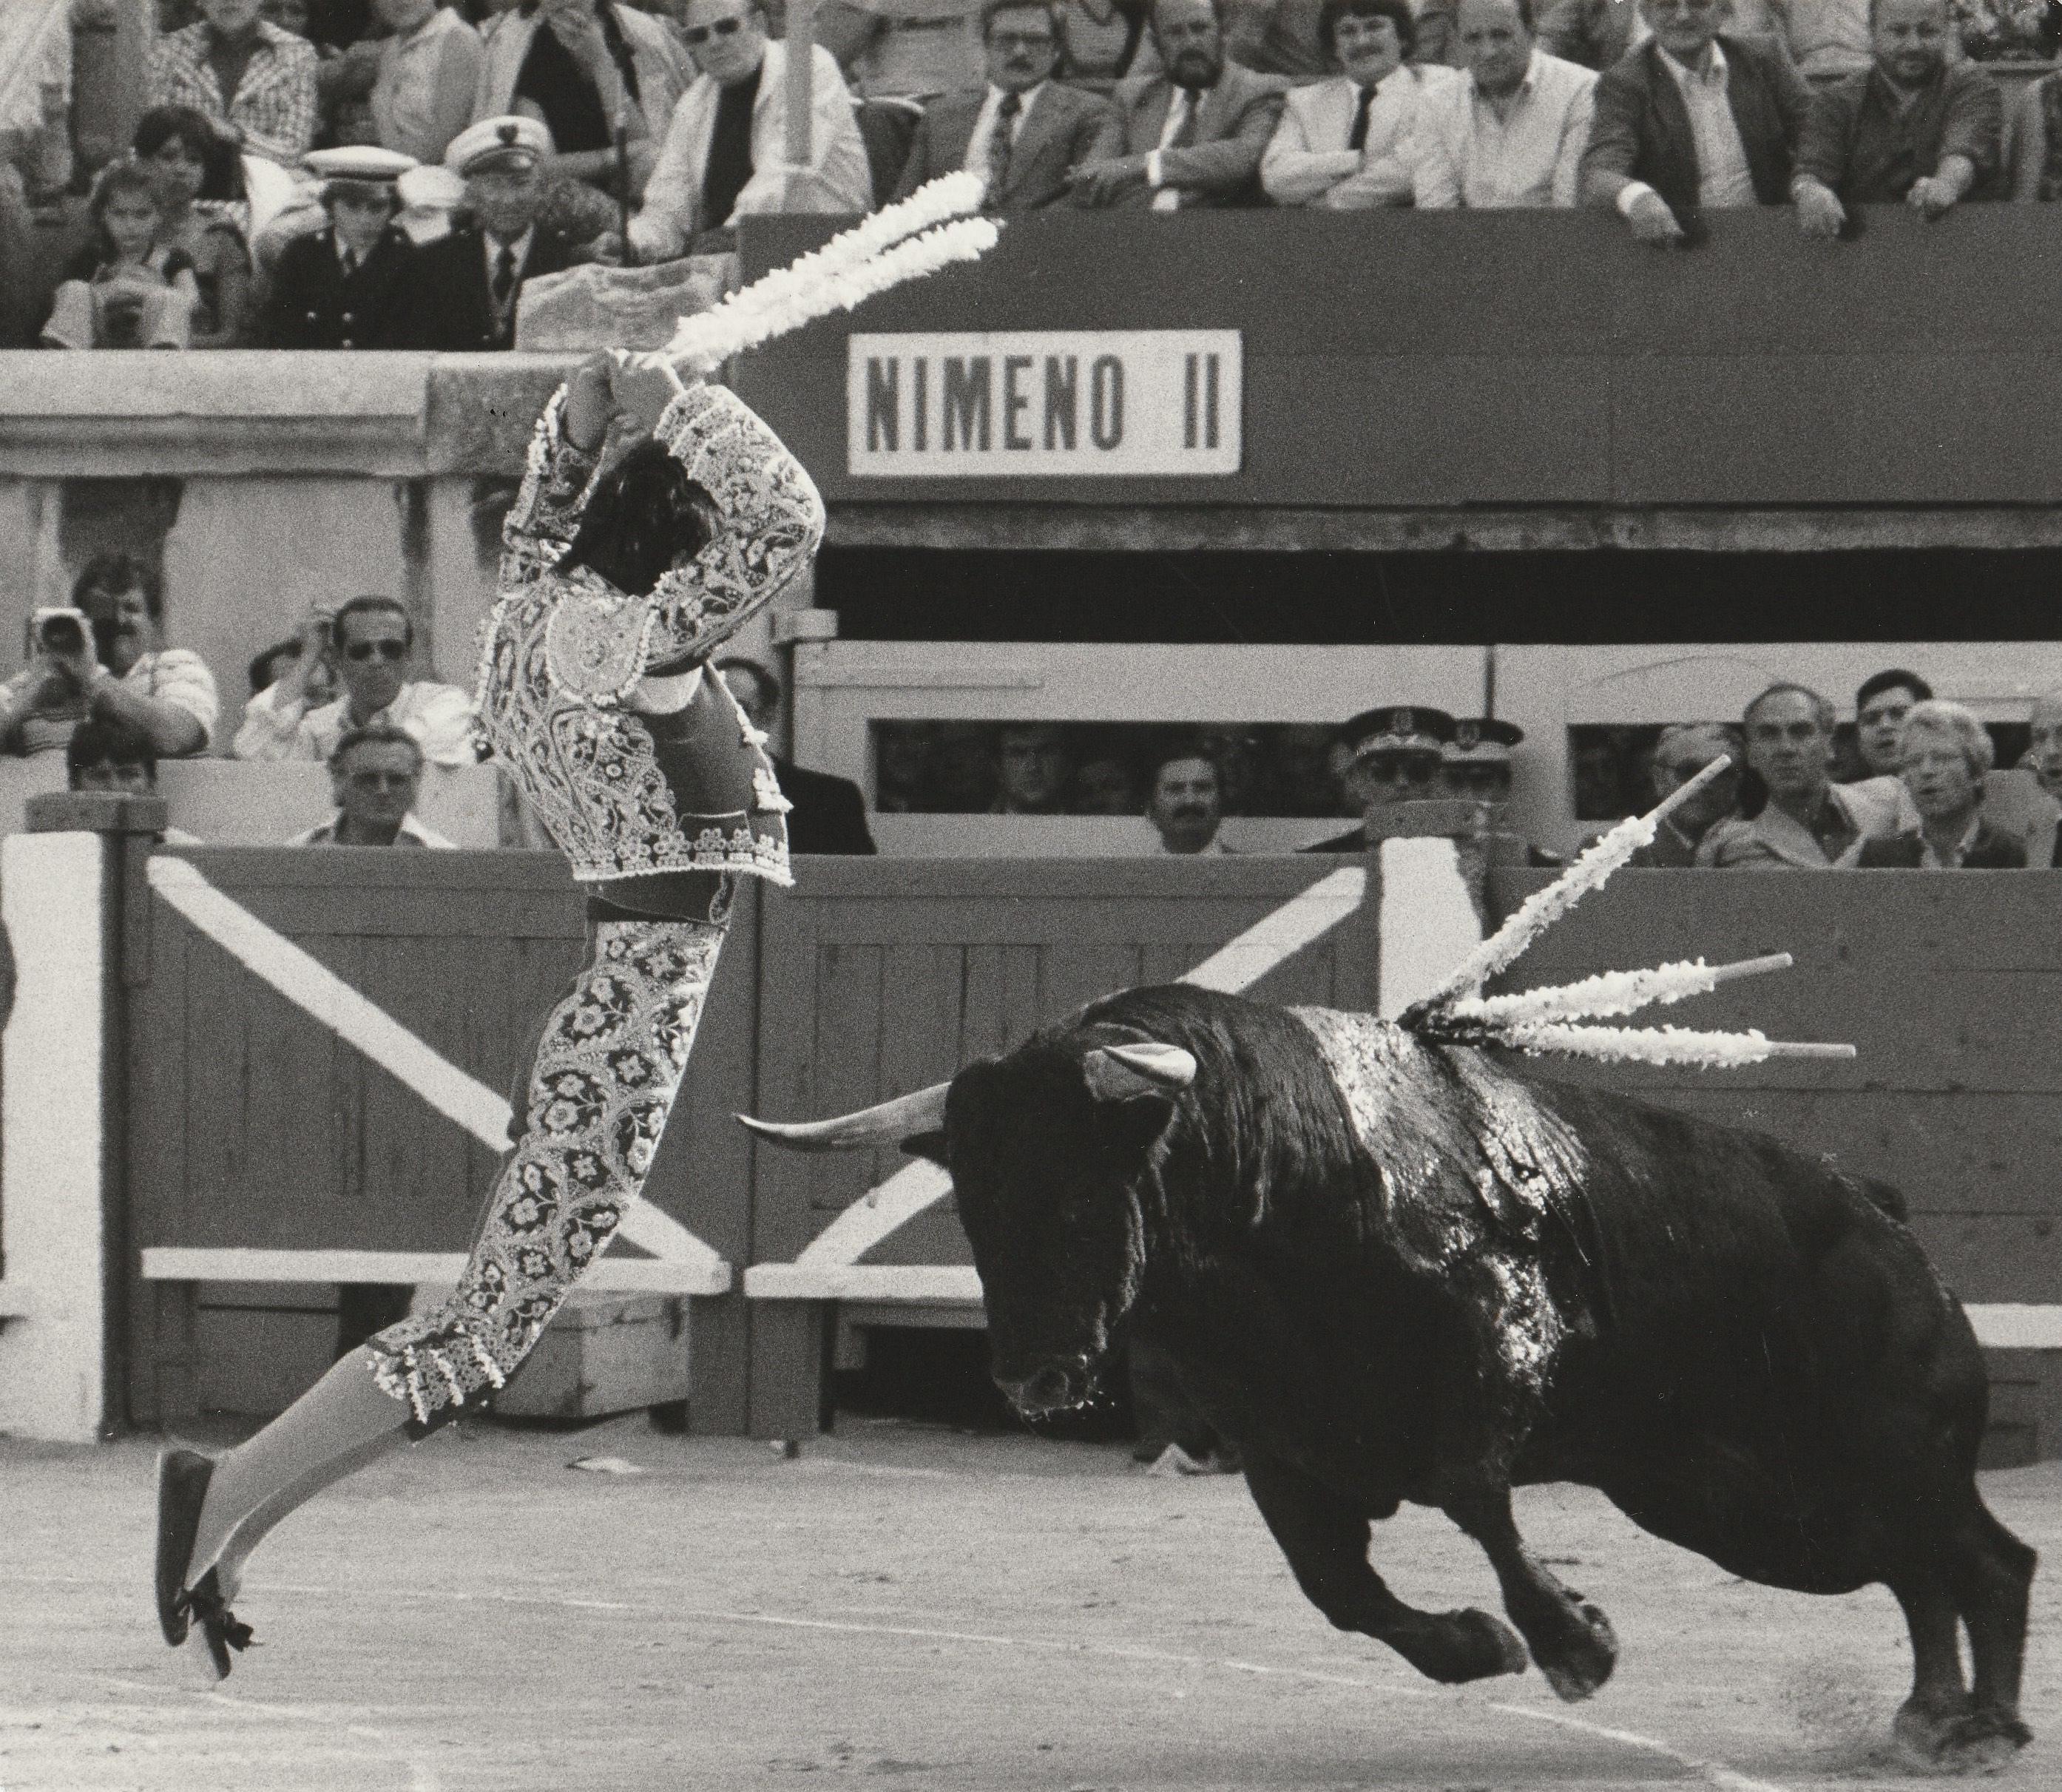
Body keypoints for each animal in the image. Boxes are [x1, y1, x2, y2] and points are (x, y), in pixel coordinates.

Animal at [742, 985, 2029, 1765]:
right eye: (971, 1202)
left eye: (1076, 1188)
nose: (1035, 1374)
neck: (1279, 1187)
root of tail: (1882, 1213)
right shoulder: (1283, 1449)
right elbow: (1341, 1590)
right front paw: (1479, 1648)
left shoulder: (1494, 1360)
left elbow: (1474, 1502)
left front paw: (1576, 1643)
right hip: (1756, 1505)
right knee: (1920, 1566)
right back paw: (1932, 1715)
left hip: (1880, 1451)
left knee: (1986, 1557)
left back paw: (1987, 1722)